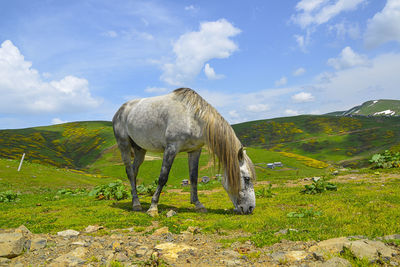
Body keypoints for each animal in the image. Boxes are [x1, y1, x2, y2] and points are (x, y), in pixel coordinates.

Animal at [112, 88, 256, 218]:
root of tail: (120, 111)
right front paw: (153, 208)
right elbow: (163, 177)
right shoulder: (171, 148)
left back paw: (135, 201)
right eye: (247, 178)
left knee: (134, 171)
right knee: (130, 172)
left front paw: (198, 204)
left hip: (140, 149)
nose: (250, 208)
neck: (192, 118)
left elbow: (193, 177)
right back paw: (136, 204)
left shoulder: (194, 150)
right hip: (124, 145)